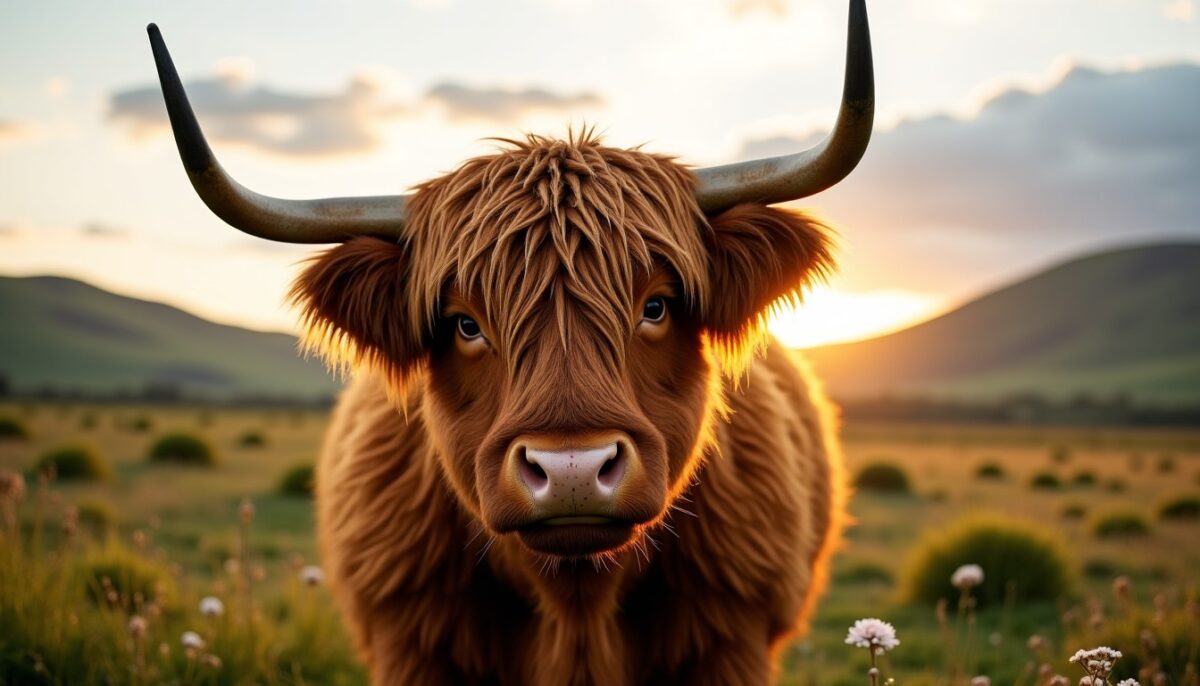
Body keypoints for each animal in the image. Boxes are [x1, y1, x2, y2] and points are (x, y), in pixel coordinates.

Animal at [146, 1, 873, 683]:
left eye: (656, 306)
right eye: (465, 324)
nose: (572, 470)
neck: (575, 602)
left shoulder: (732, 643)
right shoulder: (412, 645)